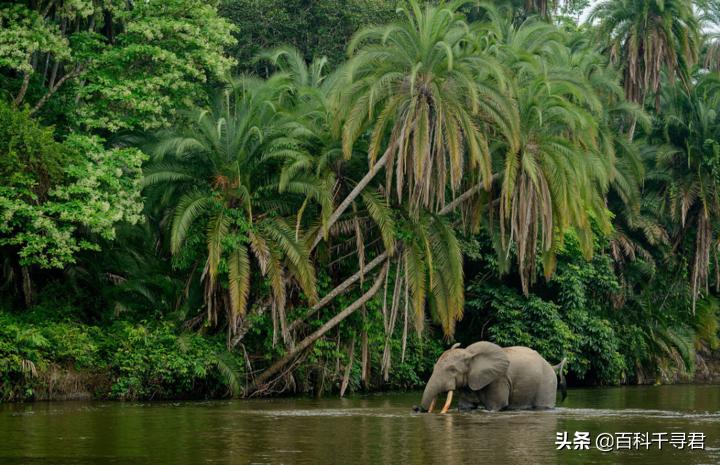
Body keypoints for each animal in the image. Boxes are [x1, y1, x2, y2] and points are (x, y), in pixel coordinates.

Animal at [415, 342, 566, 413]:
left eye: (452, 370)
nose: (416, 408)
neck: (469, 353)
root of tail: (551, 365)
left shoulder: (498, 379)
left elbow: (497, 406)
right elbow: (466, 406)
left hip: (547, 383)